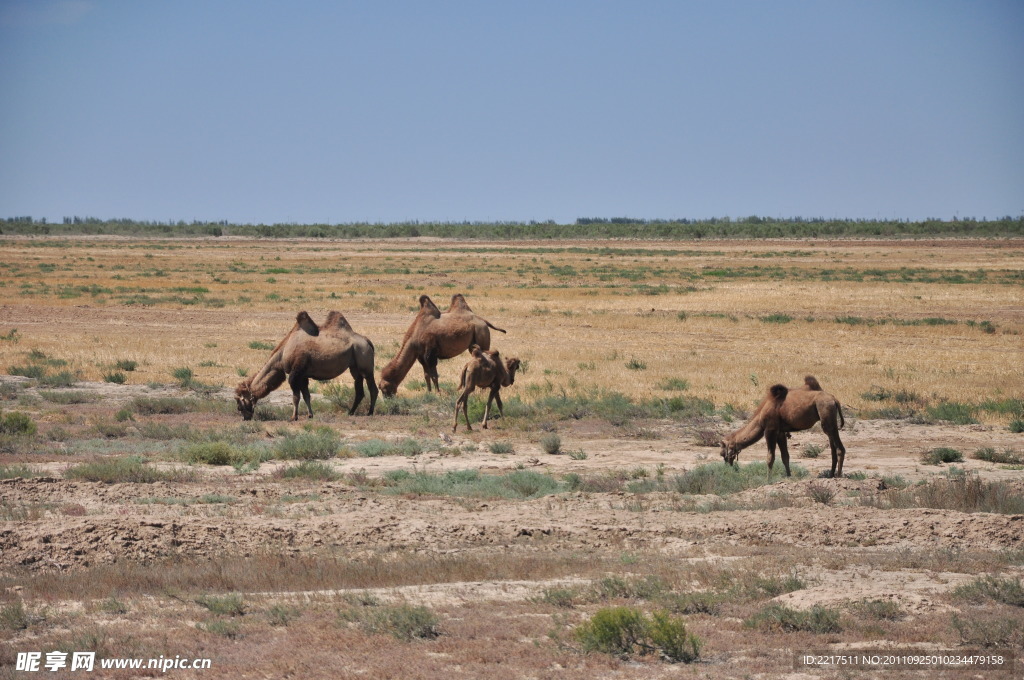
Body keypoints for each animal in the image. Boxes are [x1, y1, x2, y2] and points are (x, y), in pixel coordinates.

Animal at [234, 311, 378, 419]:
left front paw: (294, 417)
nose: (245, 417)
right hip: (354, 366)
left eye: (240, 402)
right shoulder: (303, 375)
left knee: (372, 388)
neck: (282, 354)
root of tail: (367, 341)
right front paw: (310, 415)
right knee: (359, 388)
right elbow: (306, 396)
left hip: (365, 363)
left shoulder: (295, 374)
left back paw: (370, 412)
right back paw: (351, 412)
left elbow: (296, 397)